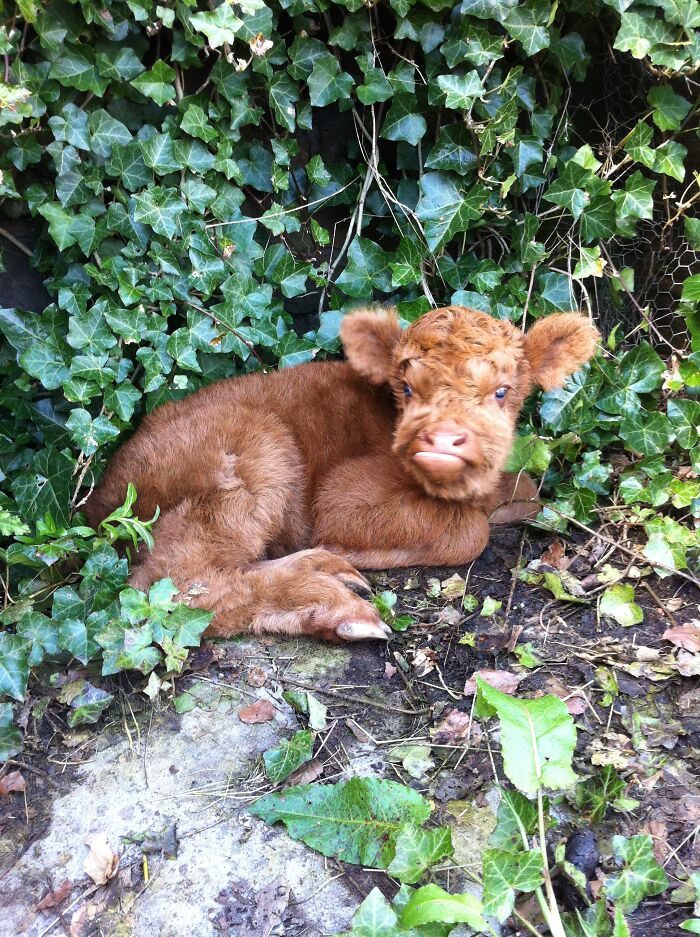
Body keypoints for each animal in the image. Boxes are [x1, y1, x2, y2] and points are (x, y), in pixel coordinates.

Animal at [85, 306, 599, 642]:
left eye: (502, 392)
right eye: (407, 389)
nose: (442, 439)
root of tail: (101, 497)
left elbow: (526, 492)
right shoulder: (343, 497)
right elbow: (470, 532)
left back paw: (325, 573)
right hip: (255, 452)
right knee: (176, 587)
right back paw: (335, 603)